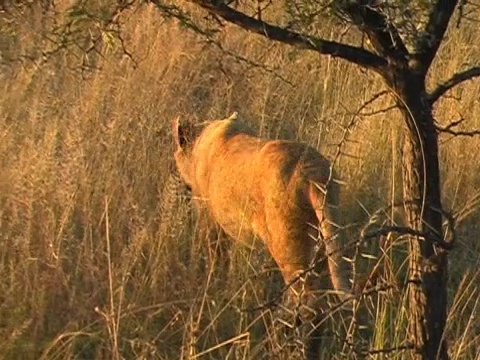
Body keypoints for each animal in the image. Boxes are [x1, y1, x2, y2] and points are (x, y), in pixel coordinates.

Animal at [172, 112, 352, 358]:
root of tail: (314, 173)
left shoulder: (209, 220)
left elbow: (215, 259)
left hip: (289, 249)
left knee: (312, 306)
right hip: (323, 245)